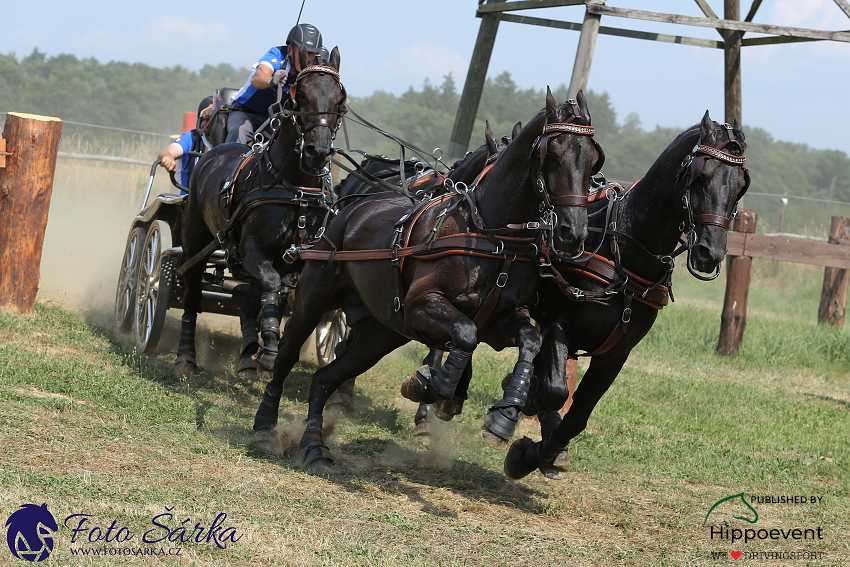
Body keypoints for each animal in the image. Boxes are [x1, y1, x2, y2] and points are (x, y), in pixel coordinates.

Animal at [174, 47, 346, 378]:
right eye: (300, 94)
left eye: (339, 99)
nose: (317, 152)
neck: (295, 187)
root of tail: (211, 154)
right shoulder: (251, 246)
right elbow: (271, 284)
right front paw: (269, 348)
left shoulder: (303, 258)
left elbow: (286, 298)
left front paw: (267, 347)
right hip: (195, 241)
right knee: (192, 294)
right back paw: (186, 357)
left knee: (249, 299)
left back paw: (247, 356)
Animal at [252, 87, 604, 470]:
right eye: (552, 155)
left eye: (593, 161)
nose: (573, 232)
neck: (492, 236)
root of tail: (351, 208)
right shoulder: (423, 305)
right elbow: (464, 334)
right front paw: (434, 388)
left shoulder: (500, 322)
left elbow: (530, 338)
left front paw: (504, 414)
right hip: (314, 299)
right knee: (285, 357)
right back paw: (265, 424)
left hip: (381, 333)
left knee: (324, 377)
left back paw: (315, 445)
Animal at [496, 111, 748, 480]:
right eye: (701, 177)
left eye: (740, 185)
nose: (710, 252)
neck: (623, 250)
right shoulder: (555, 320)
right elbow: (554, 391)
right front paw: (525, 413)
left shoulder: (617, 352)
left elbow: (576, 416)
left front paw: (536, 454)